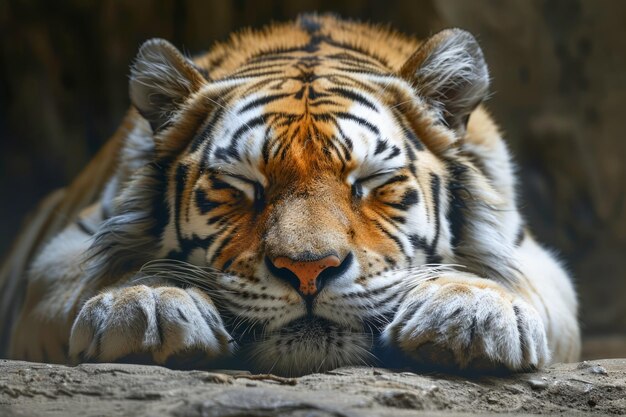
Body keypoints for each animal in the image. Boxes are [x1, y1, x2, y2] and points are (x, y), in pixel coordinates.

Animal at [0, 14, 580, 376]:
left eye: (369, 182)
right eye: (241, 187)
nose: (308, 271)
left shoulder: (538, 262)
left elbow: (513, 283)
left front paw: (471, 312)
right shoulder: (60, 255)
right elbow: (101, 276)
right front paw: (146, 304)